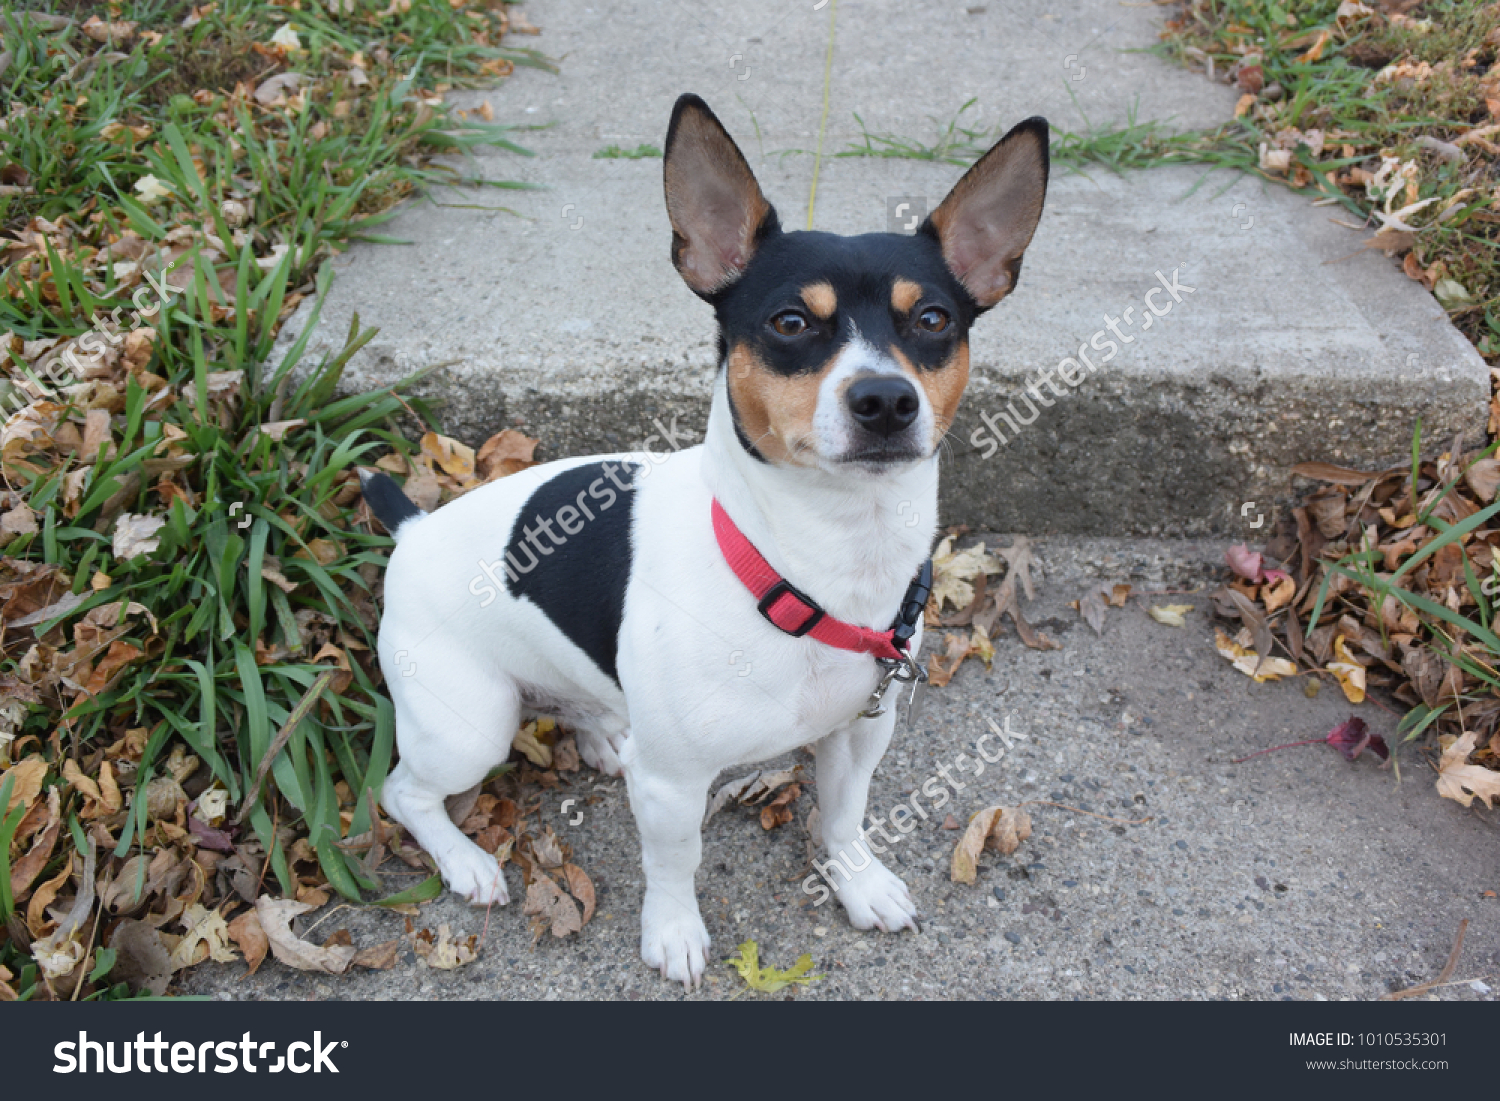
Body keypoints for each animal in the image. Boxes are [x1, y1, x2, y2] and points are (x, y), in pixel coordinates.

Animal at [360, 94, 1056, 990]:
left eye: (932, 319)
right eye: (790, 321)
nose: (885, 399)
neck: (813, 563)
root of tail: (413, 526)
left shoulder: (860, 732)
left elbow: (845, 819)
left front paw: (858, 882)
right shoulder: (673, 784)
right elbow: (673, 861)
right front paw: (673, 931)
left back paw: (599, 731)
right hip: (467, 727)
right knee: (405, 792)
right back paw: (466, 860)